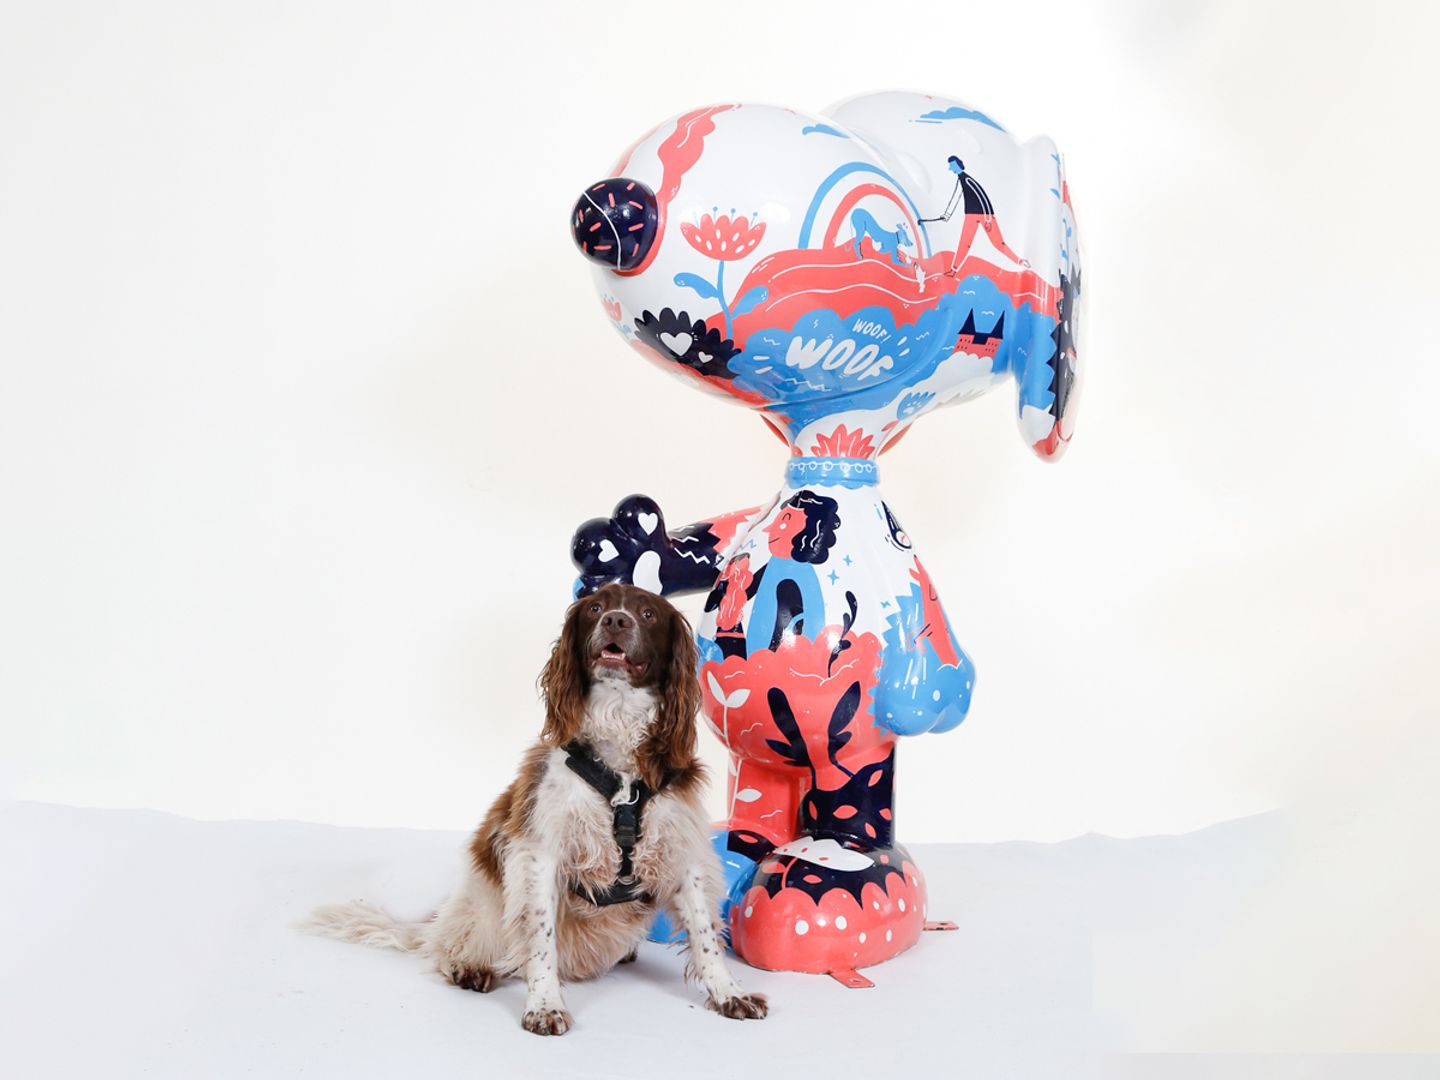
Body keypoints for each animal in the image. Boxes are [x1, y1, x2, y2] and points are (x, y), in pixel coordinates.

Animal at [302, 587, 766, 1036]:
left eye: (648, 613)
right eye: (596, 606)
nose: (615, 620)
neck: (617, 736)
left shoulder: (680, 847)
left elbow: (705, 935)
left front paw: (730, 993)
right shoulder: (541, 851)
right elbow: (540, 940)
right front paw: (544, 1006)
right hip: (482, 903)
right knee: (452, 942)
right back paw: (468, 965)